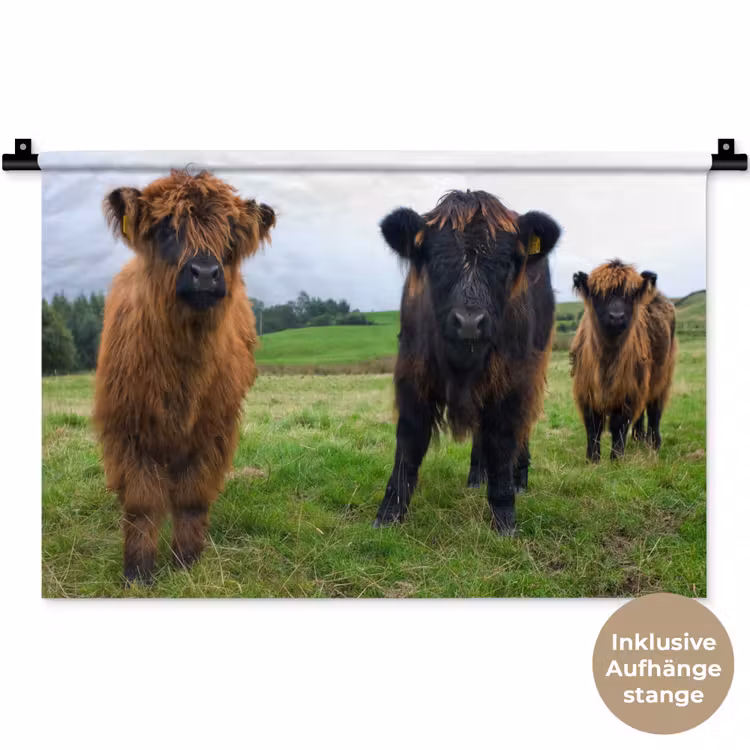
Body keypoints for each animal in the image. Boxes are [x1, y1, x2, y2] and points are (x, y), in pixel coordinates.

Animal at [94, 169, 275, 582]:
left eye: (230, 233)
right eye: (165, 228)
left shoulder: (213, 431)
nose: (205, 274)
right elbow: (141, 503)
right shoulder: (128, 430)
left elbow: (193, 496)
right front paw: (138, 571)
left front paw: (187, 561)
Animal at [374, 190, 561, 534]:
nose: (470, 322)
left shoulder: (512, 381)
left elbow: (502, 441)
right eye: (435, 259)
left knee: (521, 428)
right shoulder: (412, 374)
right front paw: (389, 514)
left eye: (505, 262)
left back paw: (519, 479)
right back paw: (476, 476)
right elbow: (409, 442)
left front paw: (504, 517)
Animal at [570, 259, 677, 461]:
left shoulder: (628, 391)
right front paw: (592, 459)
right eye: (599, 294)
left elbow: (618, 425)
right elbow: (593, 427)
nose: (617, 316)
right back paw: (638, 439)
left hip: (662, 377)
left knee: (654, 411)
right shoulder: (586, 391)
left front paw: (616, 458)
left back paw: (654, 444)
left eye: (630, 295)